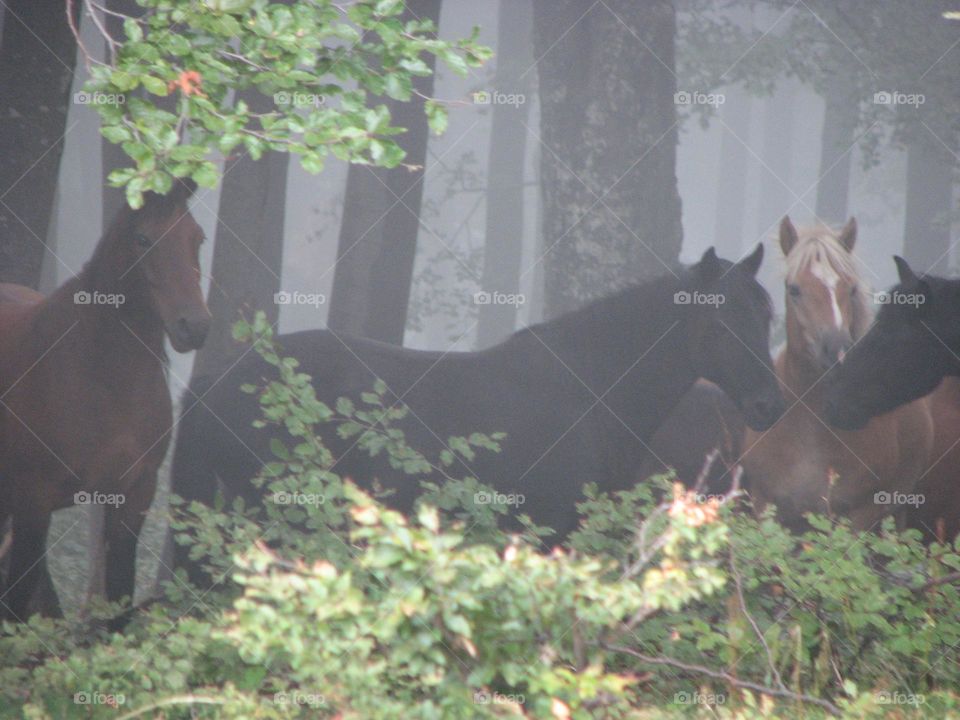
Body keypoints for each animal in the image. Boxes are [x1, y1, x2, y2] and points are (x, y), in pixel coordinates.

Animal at [0, 180, 210, 621]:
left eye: (197, 238)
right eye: (143, 239)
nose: (194, 327)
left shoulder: (132, 497)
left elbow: (118, 602)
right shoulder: (32, 505)